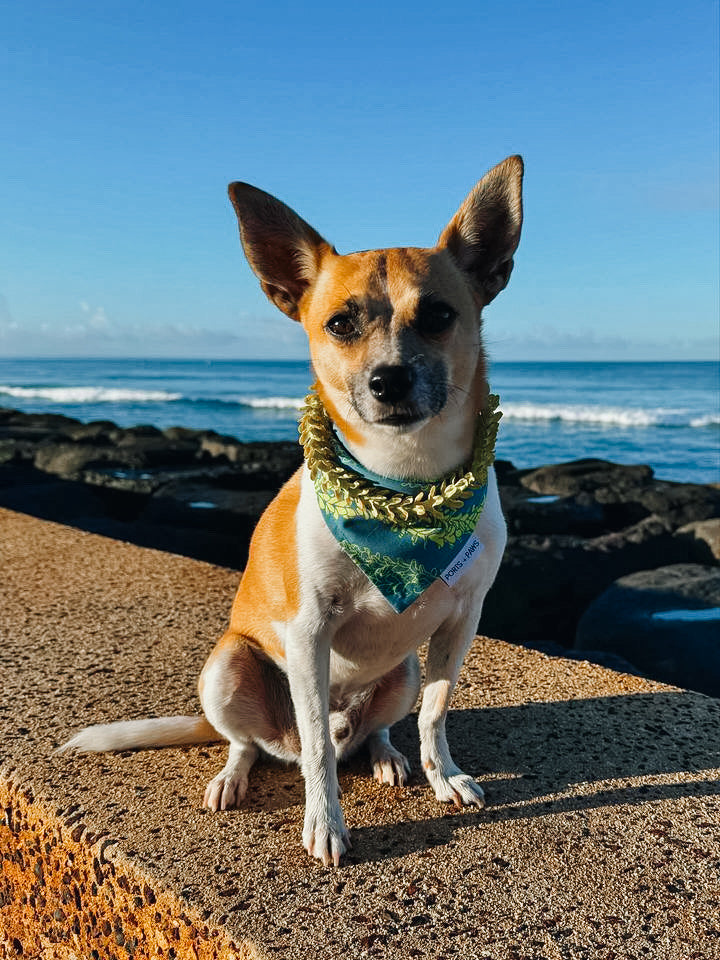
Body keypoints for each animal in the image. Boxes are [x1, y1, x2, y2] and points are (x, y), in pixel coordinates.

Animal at [59, 154, 524, 868]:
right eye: (341, 323)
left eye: (440, 315)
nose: (389, 380)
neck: (404, 489)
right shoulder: (308, 634)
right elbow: (317, 753)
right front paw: (324, 821)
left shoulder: (461, 620)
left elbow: (435, 712)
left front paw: (444, 775)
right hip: (227, 667)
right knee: (262, 742)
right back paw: (234, 774)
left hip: (402, 671)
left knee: (373, 728)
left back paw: (386, 756)